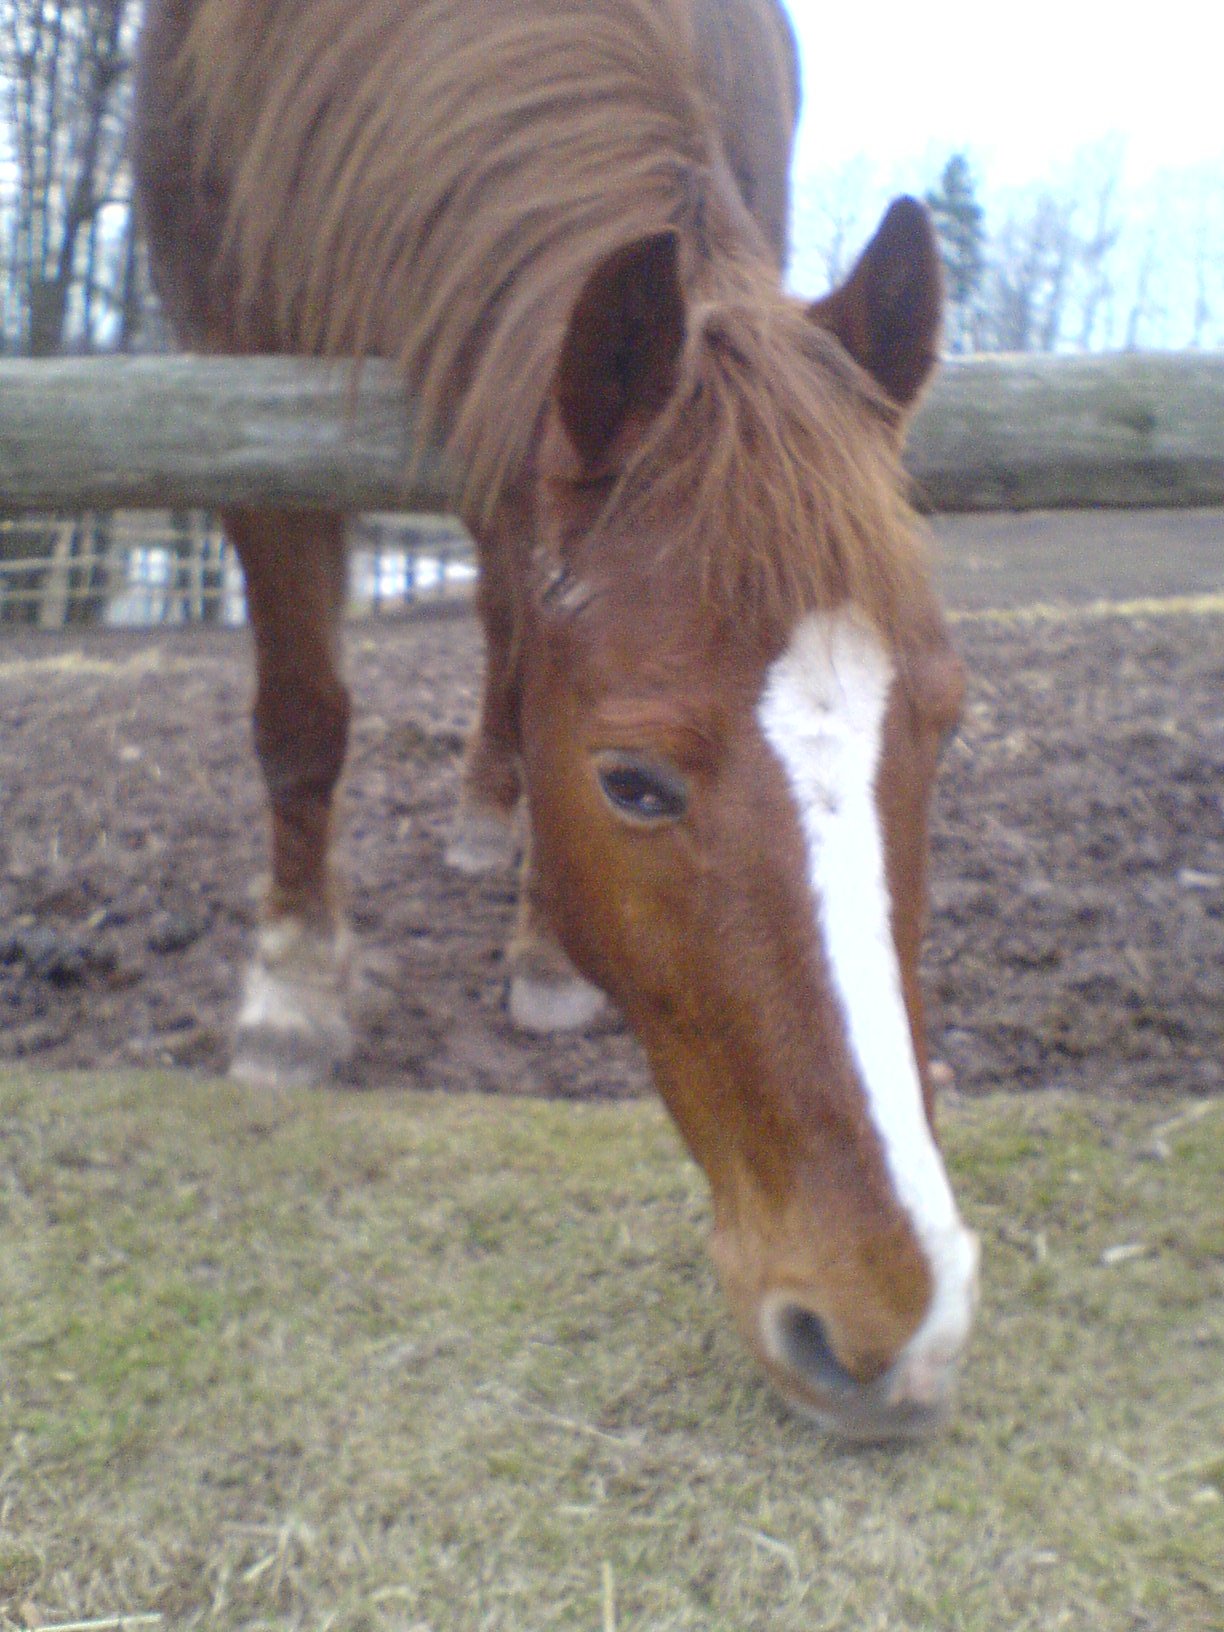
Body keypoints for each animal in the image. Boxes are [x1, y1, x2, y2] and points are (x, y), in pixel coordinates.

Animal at [132, 0, 979, 1442]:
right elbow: (303, 712)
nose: (897, 1326)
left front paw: (532, 938)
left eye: (946, 725)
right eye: (631, 782)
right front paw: (291, 991)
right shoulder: (228, 372)